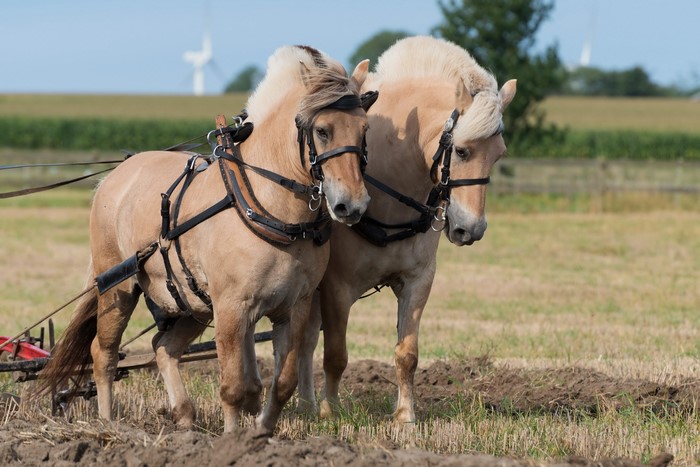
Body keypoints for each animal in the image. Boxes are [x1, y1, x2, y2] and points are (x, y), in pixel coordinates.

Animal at [39, 45, 371, 434]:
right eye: (322, 130)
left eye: (364, 128)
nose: (352, 204)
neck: (270, 208)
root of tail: (116, 175)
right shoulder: (231, 306)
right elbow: (233, 385)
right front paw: (233, 437)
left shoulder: (295, 308)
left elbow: (281, 382)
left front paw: (262, 430)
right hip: (117, 288)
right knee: (103, 353)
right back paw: (108, 423)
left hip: (191, 301)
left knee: (163, 346)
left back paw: (184, 415)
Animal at [296, 36, 517, 423]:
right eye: (461, 151)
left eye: (499, 155)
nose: (471, 229)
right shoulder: (337, 287)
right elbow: (335, 355)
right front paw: (330, 411)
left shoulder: (418, 281)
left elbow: (407, 354)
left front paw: (405, 416)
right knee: (305, 342)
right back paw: (308, 405)